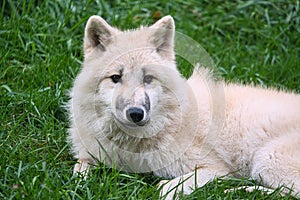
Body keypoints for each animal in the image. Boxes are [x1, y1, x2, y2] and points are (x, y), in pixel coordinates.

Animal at [68, 15, 300, 198]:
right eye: (116, 77)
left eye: (148, 78)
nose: (136, 113)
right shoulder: (92, 154)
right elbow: (78, 169)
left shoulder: (216, 168)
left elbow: (165, 188)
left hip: (266, 160)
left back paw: (238, 191)